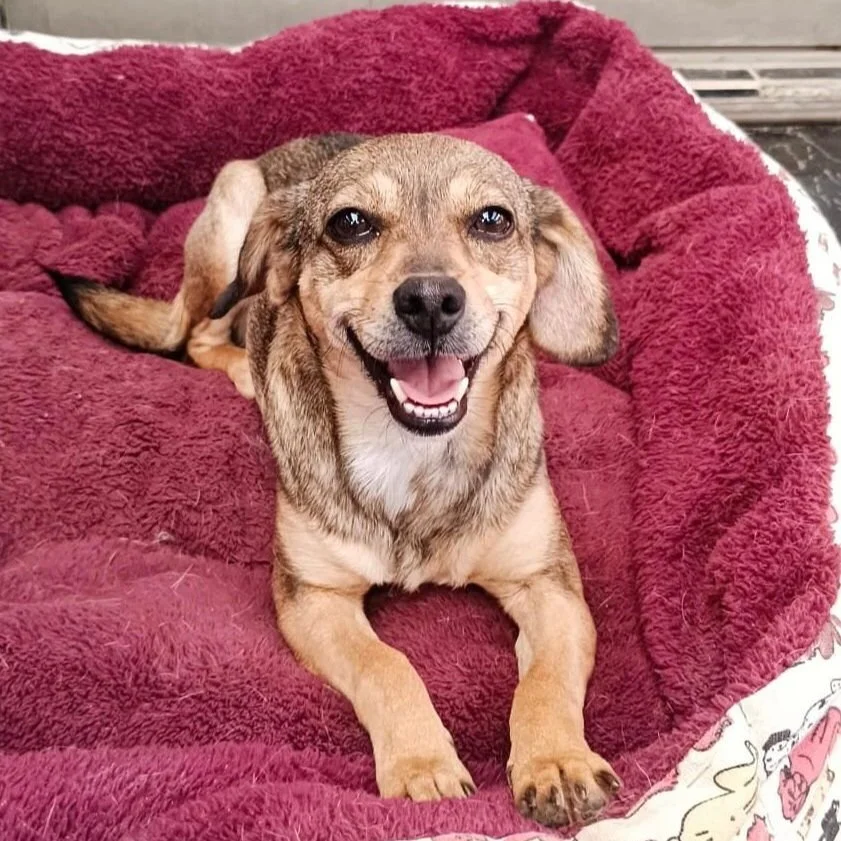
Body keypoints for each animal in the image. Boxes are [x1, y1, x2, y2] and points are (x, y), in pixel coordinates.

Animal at [51, 131, 621, 826]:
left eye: (493, 220)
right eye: (350, 223)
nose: (430, 301)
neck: (410, 453)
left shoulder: (550, 588)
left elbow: (545, 681)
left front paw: (555, 761)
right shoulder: (313, 599)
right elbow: (387, 664)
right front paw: (422, 763)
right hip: (231, 221)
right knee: (198, 334)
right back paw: (241, 367)